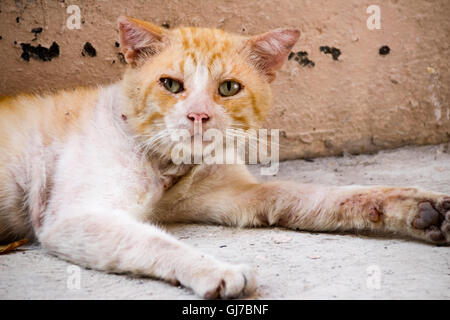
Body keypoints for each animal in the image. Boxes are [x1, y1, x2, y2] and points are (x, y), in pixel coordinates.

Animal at [0, 16, 448, 298]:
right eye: (170, 84)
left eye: (228, 88)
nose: (199, 115)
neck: (169, 167)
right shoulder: (73, 219)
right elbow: (154, 242)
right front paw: (216, 271)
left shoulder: (234, 196)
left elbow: (321, 197)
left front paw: (420, 209)